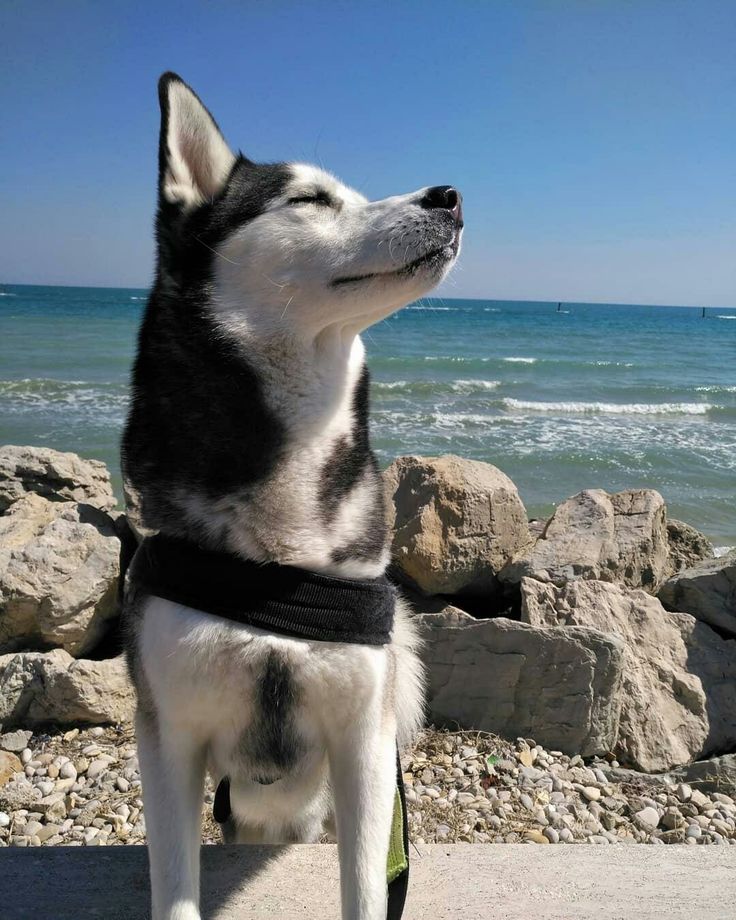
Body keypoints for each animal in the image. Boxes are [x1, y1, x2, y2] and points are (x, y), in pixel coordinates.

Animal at [123, 73, 462, 920]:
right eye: (310, 199)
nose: (449, 195)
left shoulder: (365, 744)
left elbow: (367, 889)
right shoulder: (168, 739)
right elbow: (175, 890)